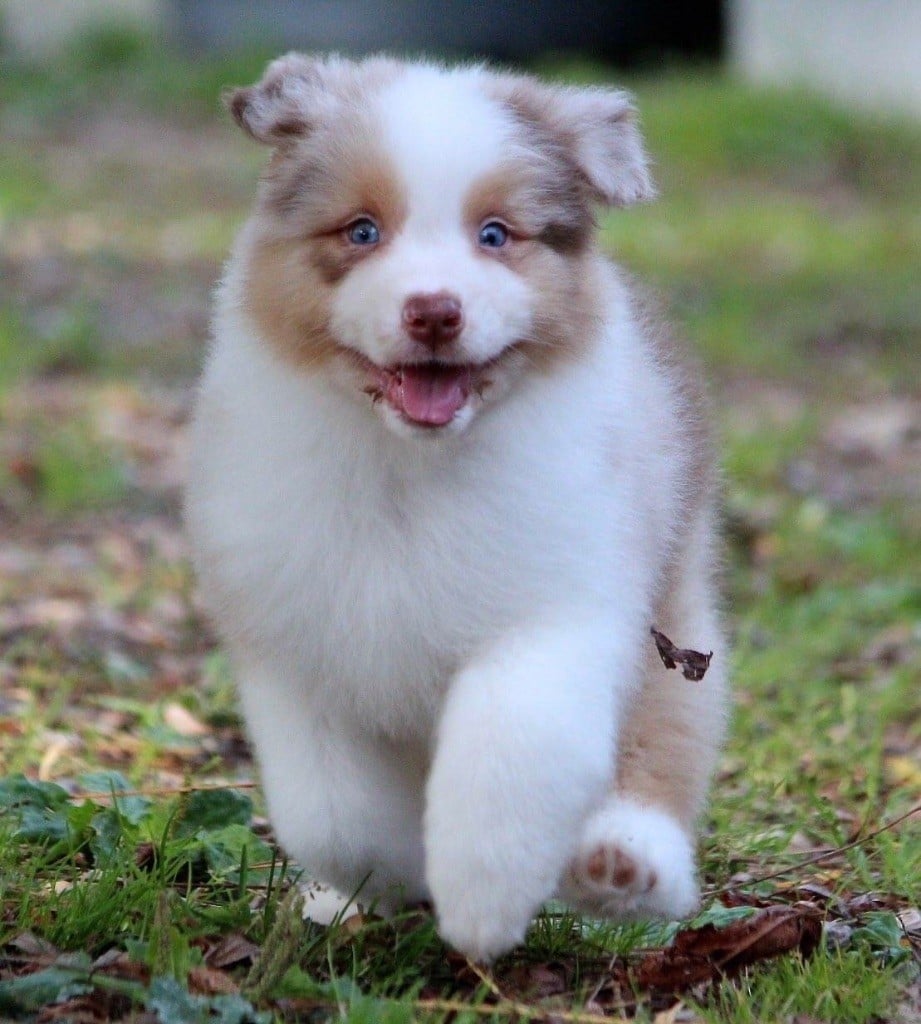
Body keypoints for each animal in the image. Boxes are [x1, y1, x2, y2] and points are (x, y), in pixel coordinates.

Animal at [185, 54, 728, 961]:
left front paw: (481, 902)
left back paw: (624, 865)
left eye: (496, 236)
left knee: (663, 739)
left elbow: (508, 752)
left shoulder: (554, 616)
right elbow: (333, 814)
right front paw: (394, 874)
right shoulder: (297, 641)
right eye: (361, 232)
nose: (434, 310)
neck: (409, 472)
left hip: (671, 610)